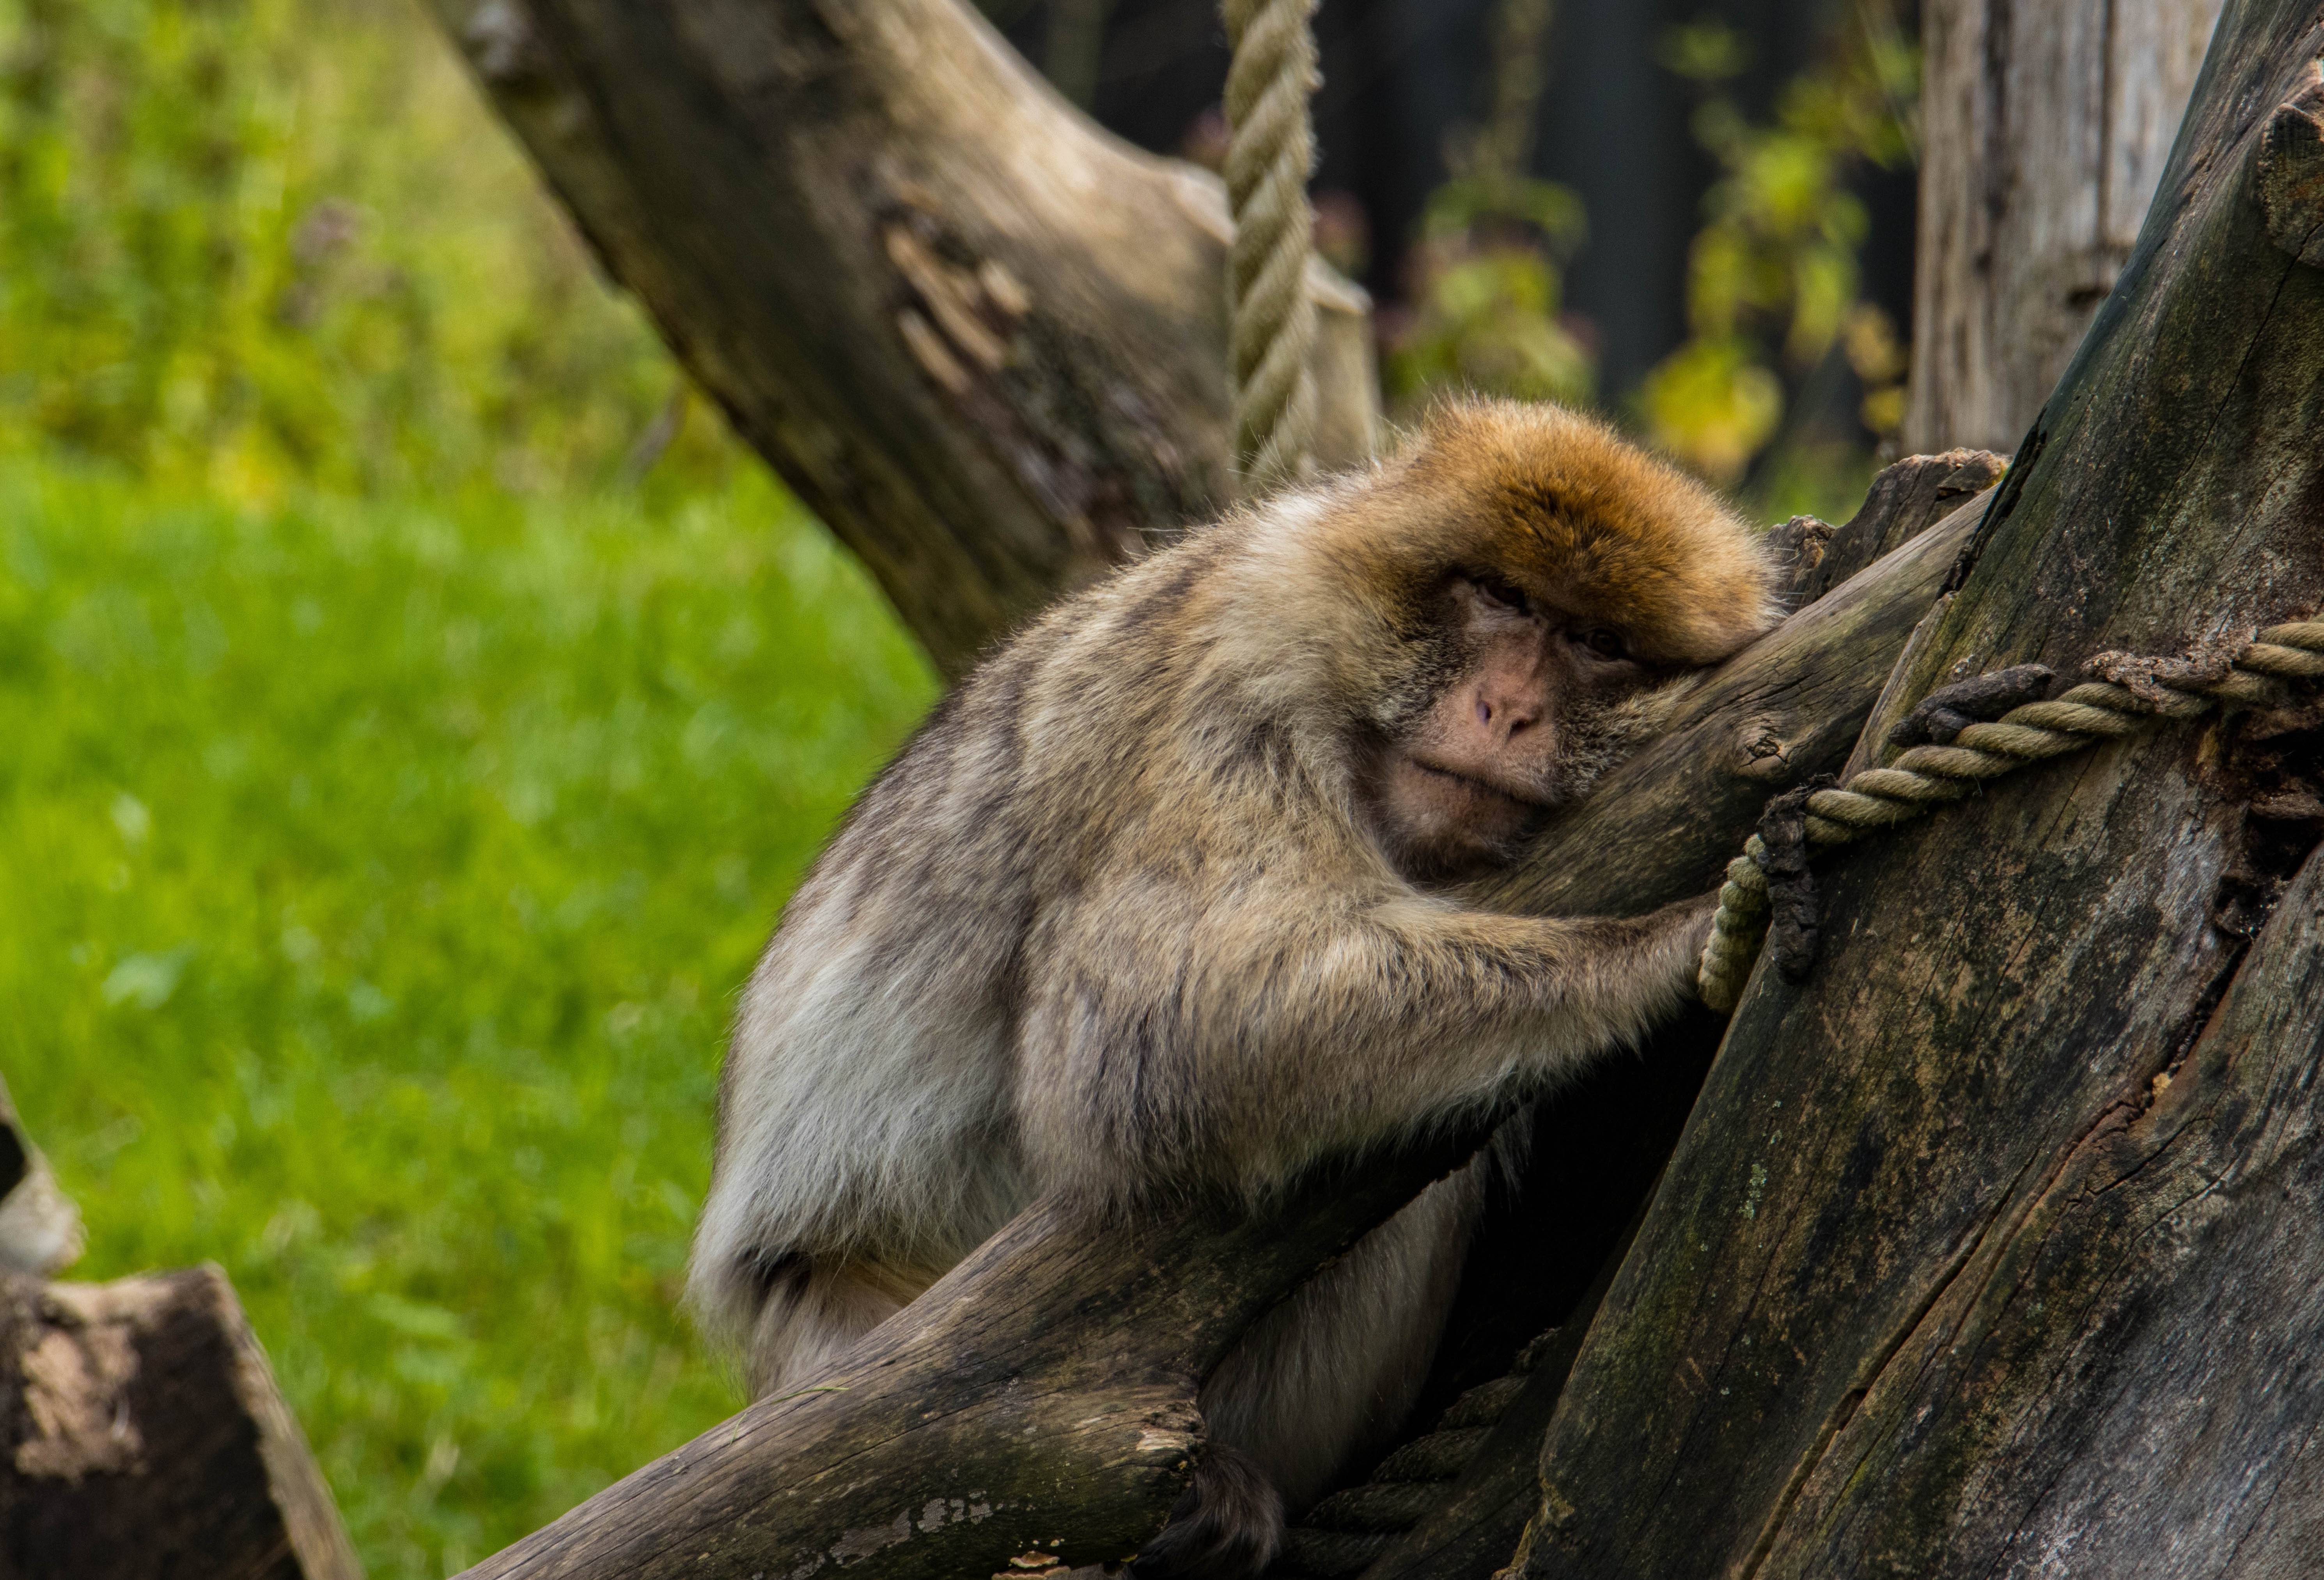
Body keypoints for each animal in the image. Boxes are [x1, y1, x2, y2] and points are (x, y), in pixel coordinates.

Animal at [688, 395, 1775, 1571]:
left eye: (1596, 643)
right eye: (1501, 597)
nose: (1506, 709)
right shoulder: (1229, 688)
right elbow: (1161, 1036)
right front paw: (1665, 943)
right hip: (837, 1321)